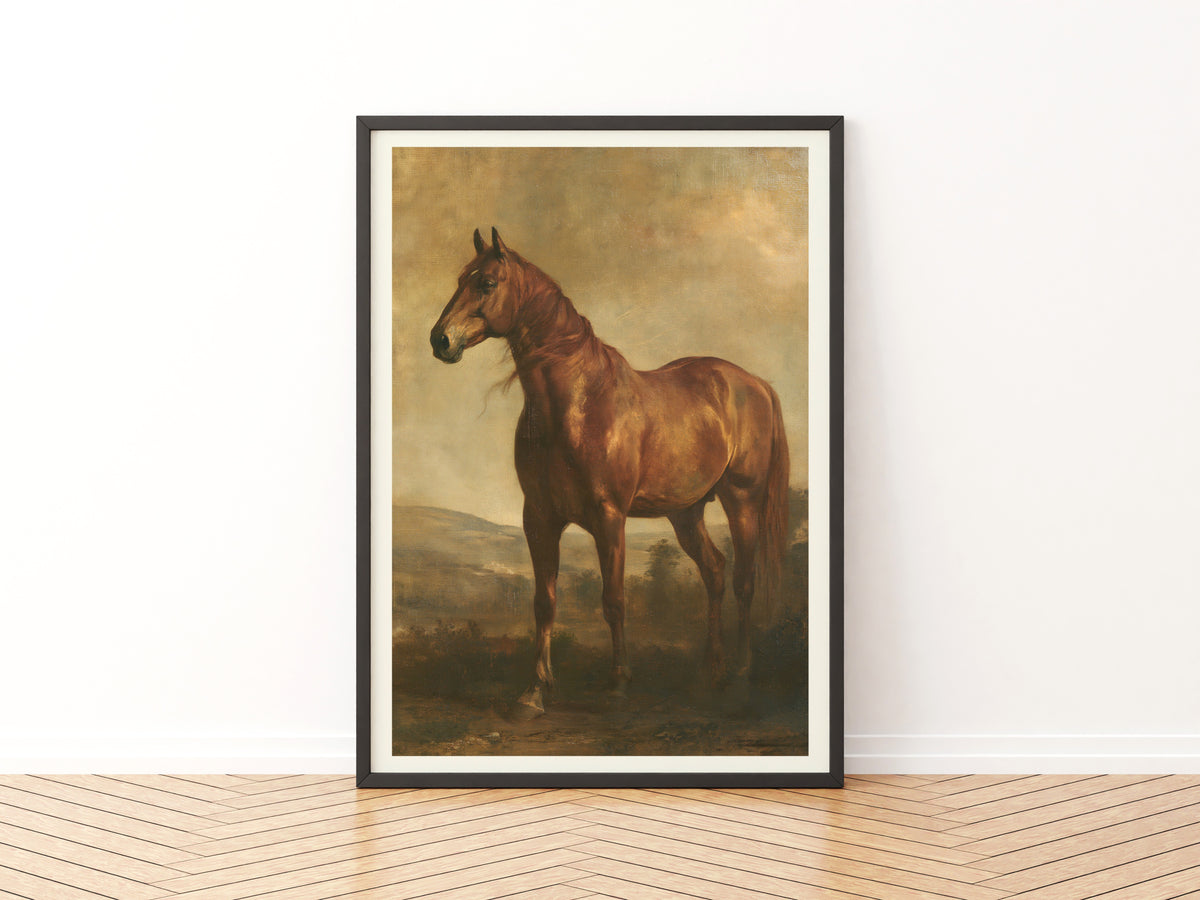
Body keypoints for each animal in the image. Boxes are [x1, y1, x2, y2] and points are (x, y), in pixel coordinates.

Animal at [429, 228, 789, 718]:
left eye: (485, 283)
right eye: (459, 280)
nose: (440, 340)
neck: (578, 403)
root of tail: (755, 383)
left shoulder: (609, 517)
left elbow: (614, 600)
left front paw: (618, 682)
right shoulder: (539, 518)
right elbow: (544, 602)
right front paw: (534, 691)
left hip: (742, 502)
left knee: (743, 582)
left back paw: (739, 676)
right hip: (686, 512)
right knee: (714, 573)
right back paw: (708, 673)